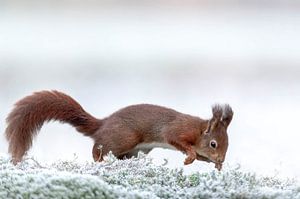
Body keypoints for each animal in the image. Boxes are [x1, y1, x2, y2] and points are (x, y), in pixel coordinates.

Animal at [5, 90, 233, 169]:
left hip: (134, 150)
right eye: (214, 143)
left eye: (227, 144)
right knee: (98, 148)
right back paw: (98, 160)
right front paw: (190, 157)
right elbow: (178, 141)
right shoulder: (177, 131)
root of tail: (102, 124)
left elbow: (202, 156)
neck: (198, 130)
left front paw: (216, 165)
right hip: (125, 138)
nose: (222, 159)